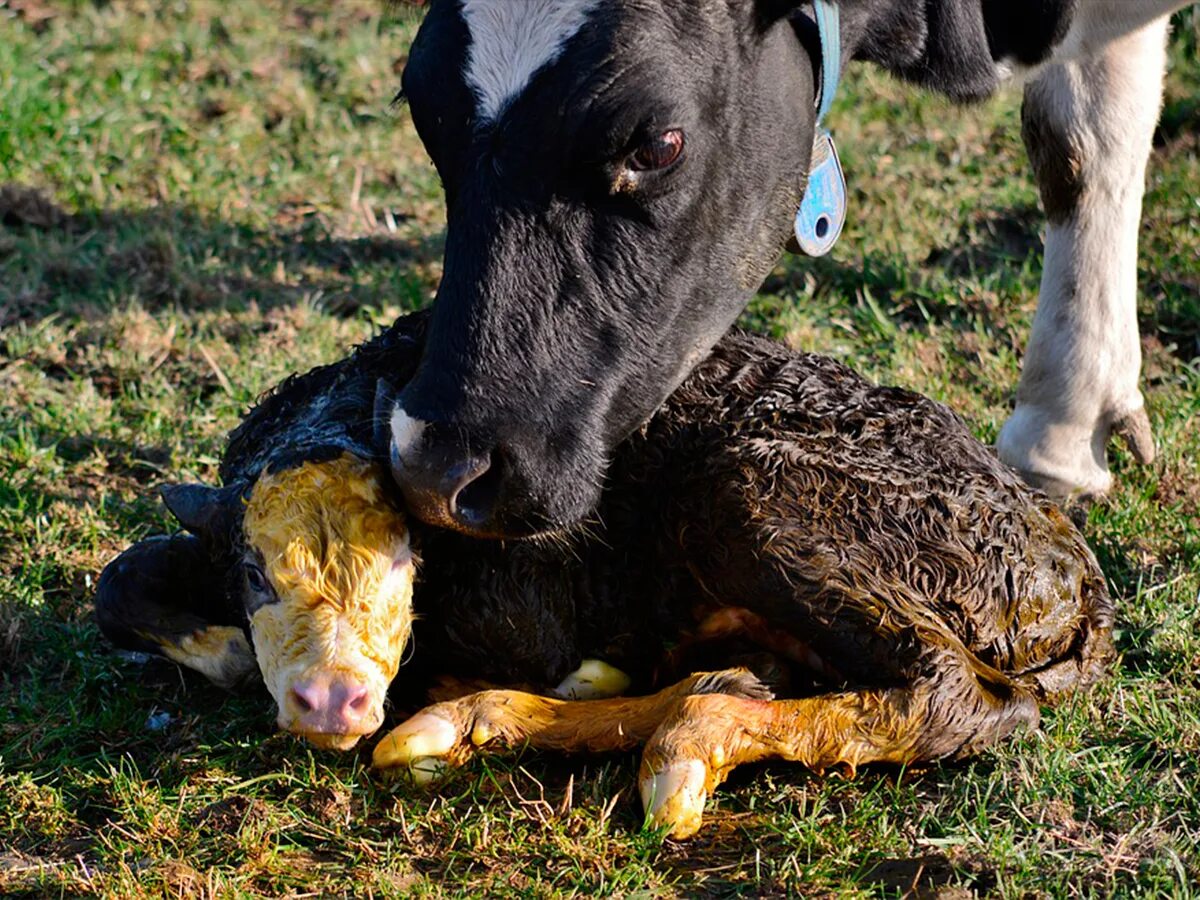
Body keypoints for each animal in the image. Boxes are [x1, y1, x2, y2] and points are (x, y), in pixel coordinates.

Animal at [96, 309, 1113, 840]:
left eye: (404, 560)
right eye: (256, 572)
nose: (332, 701)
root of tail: (1062, 552)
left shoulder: (531, 603)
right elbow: (122, 575)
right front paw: (224, 645)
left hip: (766, 495)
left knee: (954, 696)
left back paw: (681, 746)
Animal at [386, 0, 1190, 540]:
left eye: (658, 144)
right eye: (419, 107)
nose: (436, 469)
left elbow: (1082, 139)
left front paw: (1063, 427)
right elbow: (1076, 142)